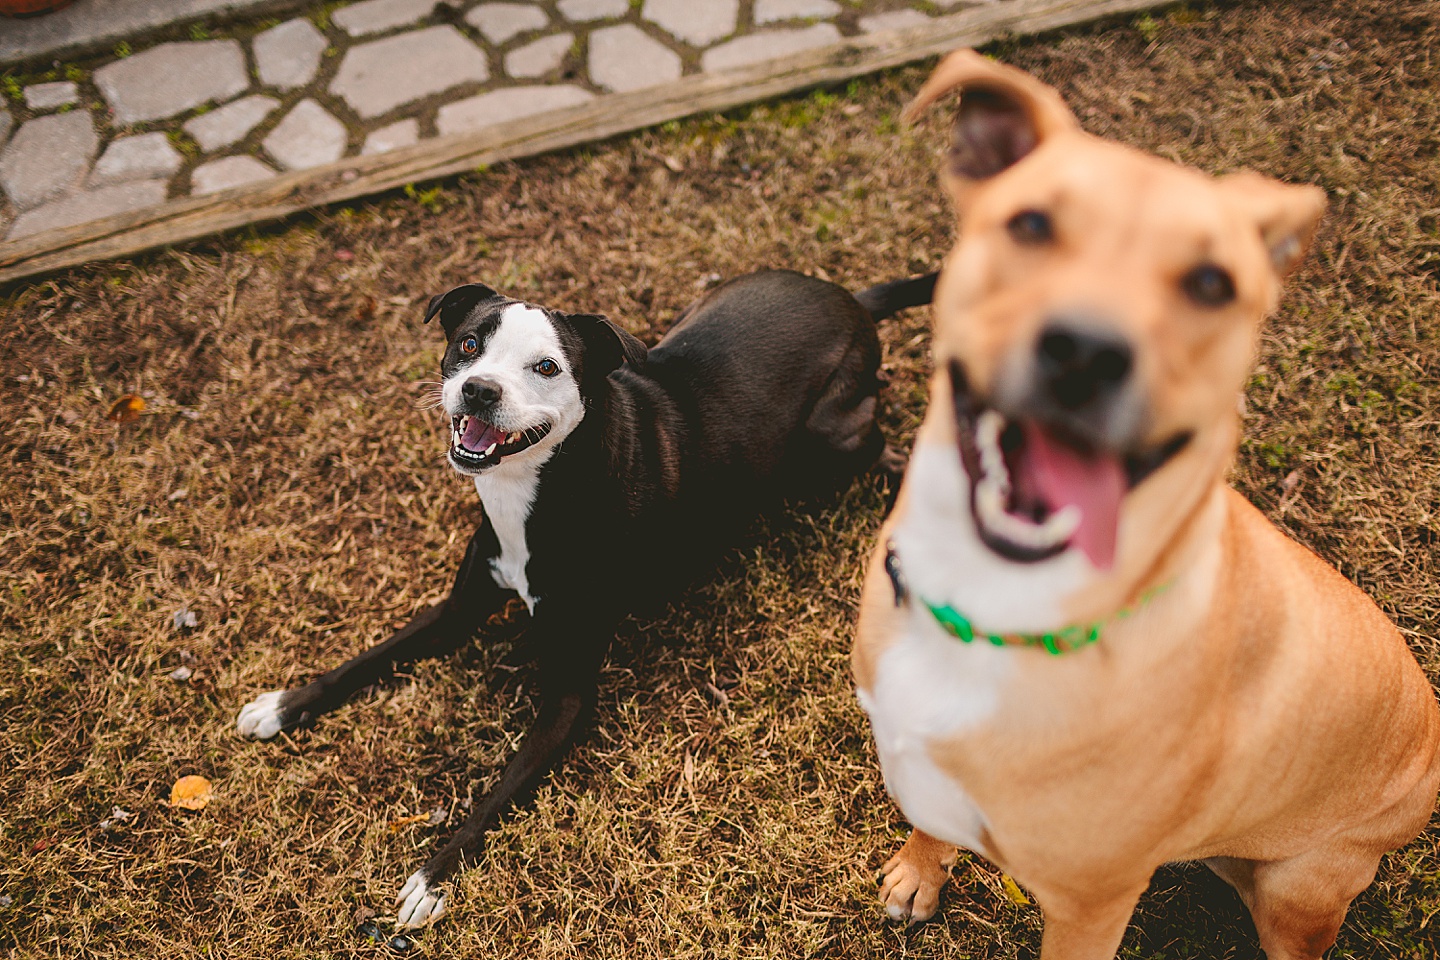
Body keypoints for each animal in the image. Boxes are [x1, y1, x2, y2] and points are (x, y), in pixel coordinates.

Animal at [236, 266, 933, 926]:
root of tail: (850, 299)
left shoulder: (569, 698)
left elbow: (496, 793)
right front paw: (283, 704)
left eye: (546, 367)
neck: (535, 486)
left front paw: (431, 879)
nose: (478, 389)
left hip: (832, 443)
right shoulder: (459, 610)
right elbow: (366, 659)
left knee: (890, 458)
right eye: (470, 344)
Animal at [852, 52, 1440, 960]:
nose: (1087, 350)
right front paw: (920, 874)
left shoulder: (1092, 907)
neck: (992, 613)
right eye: (1030, 225)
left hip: (1301, 887)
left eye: (1211, 283)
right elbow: (930, 822)